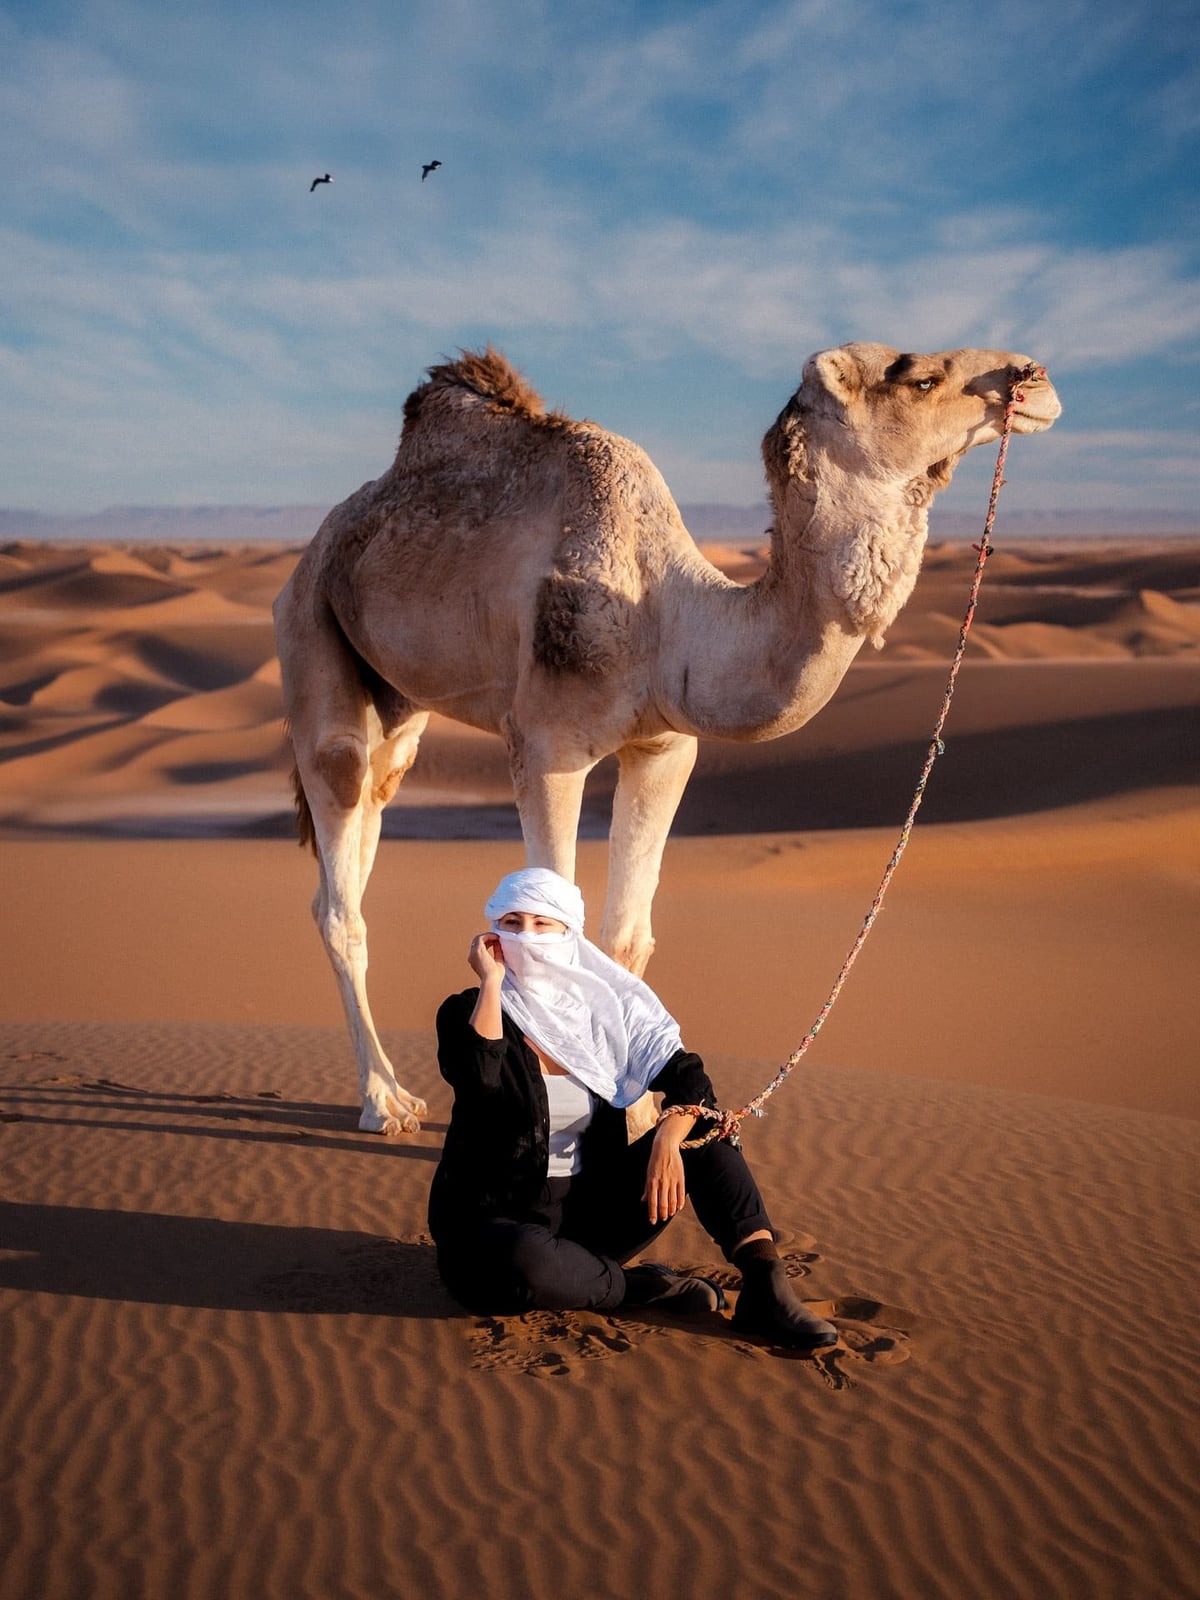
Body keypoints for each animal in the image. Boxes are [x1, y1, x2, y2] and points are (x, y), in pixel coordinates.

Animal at [274, 342, 1060, 1134]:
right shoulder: (547, 747)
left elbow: (626, 936)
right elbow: (550, 933)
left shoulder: (665, 748)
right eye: (919, 376)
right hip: (309, 626)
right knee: (339, 848)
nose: (1034, 379)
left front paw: (637, 1118)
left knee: (367, 818)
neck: (664, 616)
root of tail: (317, 547)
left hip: (398, 703)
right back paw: (384, 1099)